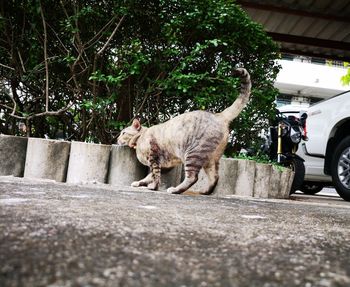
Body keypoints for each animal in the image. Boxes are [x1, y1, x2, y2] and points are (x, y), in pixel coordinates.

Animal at [117, 67, 252, 195]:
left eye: (123, 133)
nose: (117, 138)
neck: (141, 136)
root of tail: (219, 116)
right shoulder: (165, 165)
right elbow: (148, 176)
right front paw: (140, 183)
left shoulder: (154, 158)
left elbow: (155, 176)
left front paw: (153, 187)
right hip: (211, 160)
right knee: (215, 177)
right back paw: (204, 192)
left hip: (193, 154)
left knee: (192, 177)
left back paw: (176, 190)